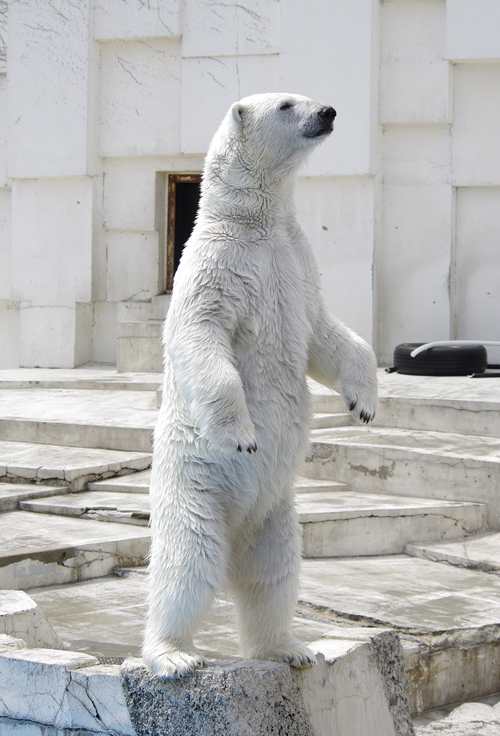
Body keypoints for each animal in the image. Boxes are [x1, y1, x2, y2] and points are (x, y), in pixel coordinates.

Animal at [143, 92, 376, 680]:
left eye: (305, 96)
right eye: (288, 104)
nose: (328, 112)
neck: (256, 223)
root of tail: (237, 537)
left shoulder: (297, 266)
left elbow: (324, 333)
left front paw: (364, 403)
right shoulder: (215, 265)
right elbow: (202, 338)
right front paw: (243, 435)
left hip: (278, 514)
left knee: (274, 576)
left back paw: (289, 647)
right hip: (195, 491)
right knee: (187, 565)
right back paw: (174, 653)